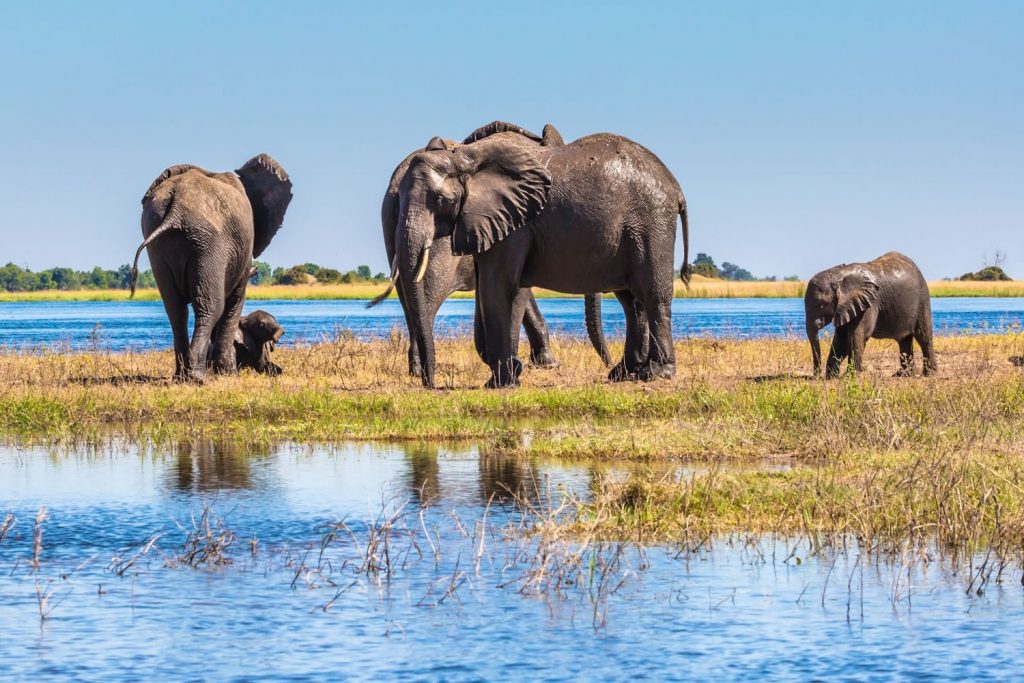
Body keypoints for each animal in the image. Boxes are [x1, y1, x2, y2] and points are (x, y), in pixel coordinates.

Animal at [130, 151, 292, 382]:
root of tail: (176, 206)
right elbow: (235, 300)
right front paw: (228, 374)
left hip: (158, 238)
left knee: (175, 309)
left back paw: (181, 377)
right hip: (210, 243)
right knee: (210, 306)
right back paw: (197, 378)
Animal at [374, 120, 606, 387]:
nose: (607, 362)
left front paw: (537, 363)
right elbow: (518, 291)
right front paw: (529, 366)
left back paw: (417, 370)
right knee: (429, 296)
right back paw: (422, 372)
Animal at [391, 126, 688, 385]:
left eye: (442, 200)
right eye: (398, 199)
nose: (431, 384)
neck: (465, 158)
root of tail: (675, 187)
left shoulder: (516, 224)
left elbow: (497, 286)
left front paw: (501, 382)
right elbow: (491, 289)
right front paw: (509, 374)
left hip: (651, 223)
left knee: (652, 294)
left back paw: (655, 373)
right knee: (631, 301)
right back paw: (623, 374)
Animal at [802, 250, 937, 378]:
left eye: (821, 305)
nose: (816, 376)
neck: (839, 275)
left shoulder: (869, 303)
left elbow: (857, 336)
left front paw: (851, 377)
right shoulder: (846, 307)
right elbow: (841, 339)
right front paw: (831, 377)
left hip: (922, 299)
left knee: (924, 336)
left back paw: (930, 374)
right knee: (904, 340)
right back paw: (904, 375)